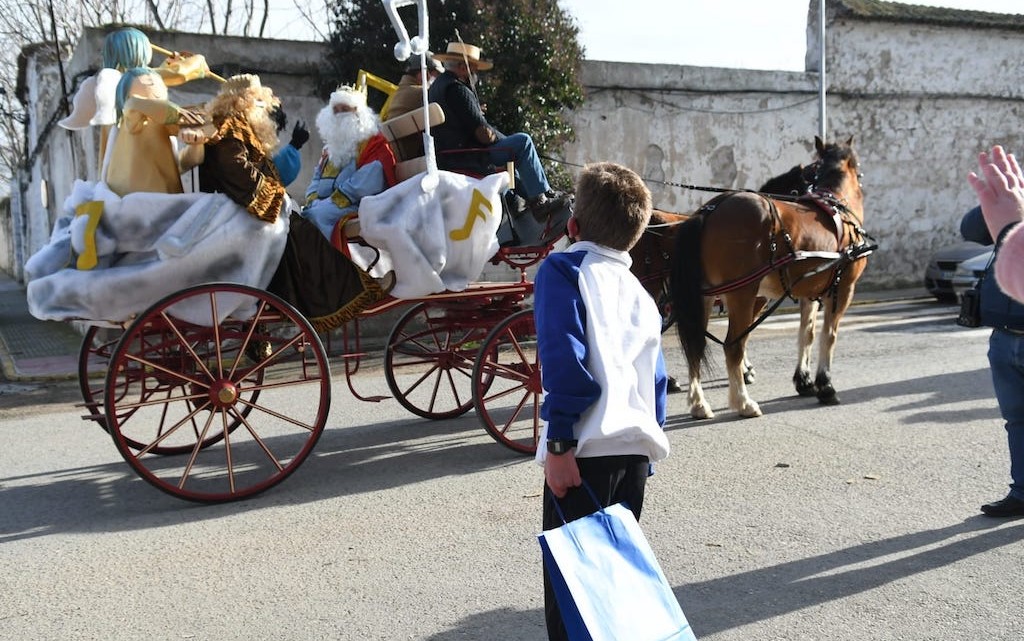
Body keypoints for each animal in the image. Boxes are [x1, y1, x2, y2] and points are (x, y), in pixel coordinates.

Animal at [671, 136, 872, 417]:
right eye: (860, 170)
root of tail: (709, 210)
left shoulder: (809, 292)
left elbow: (806, 333)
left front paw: (804, 381)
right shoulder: (843, 289)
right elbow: (828, 335)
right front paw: (825, 385)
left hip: (704, 296)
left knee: (695, 347)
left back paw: (700, 404)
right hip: (742, 294)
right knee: (732, 346)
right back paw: (743, 402)